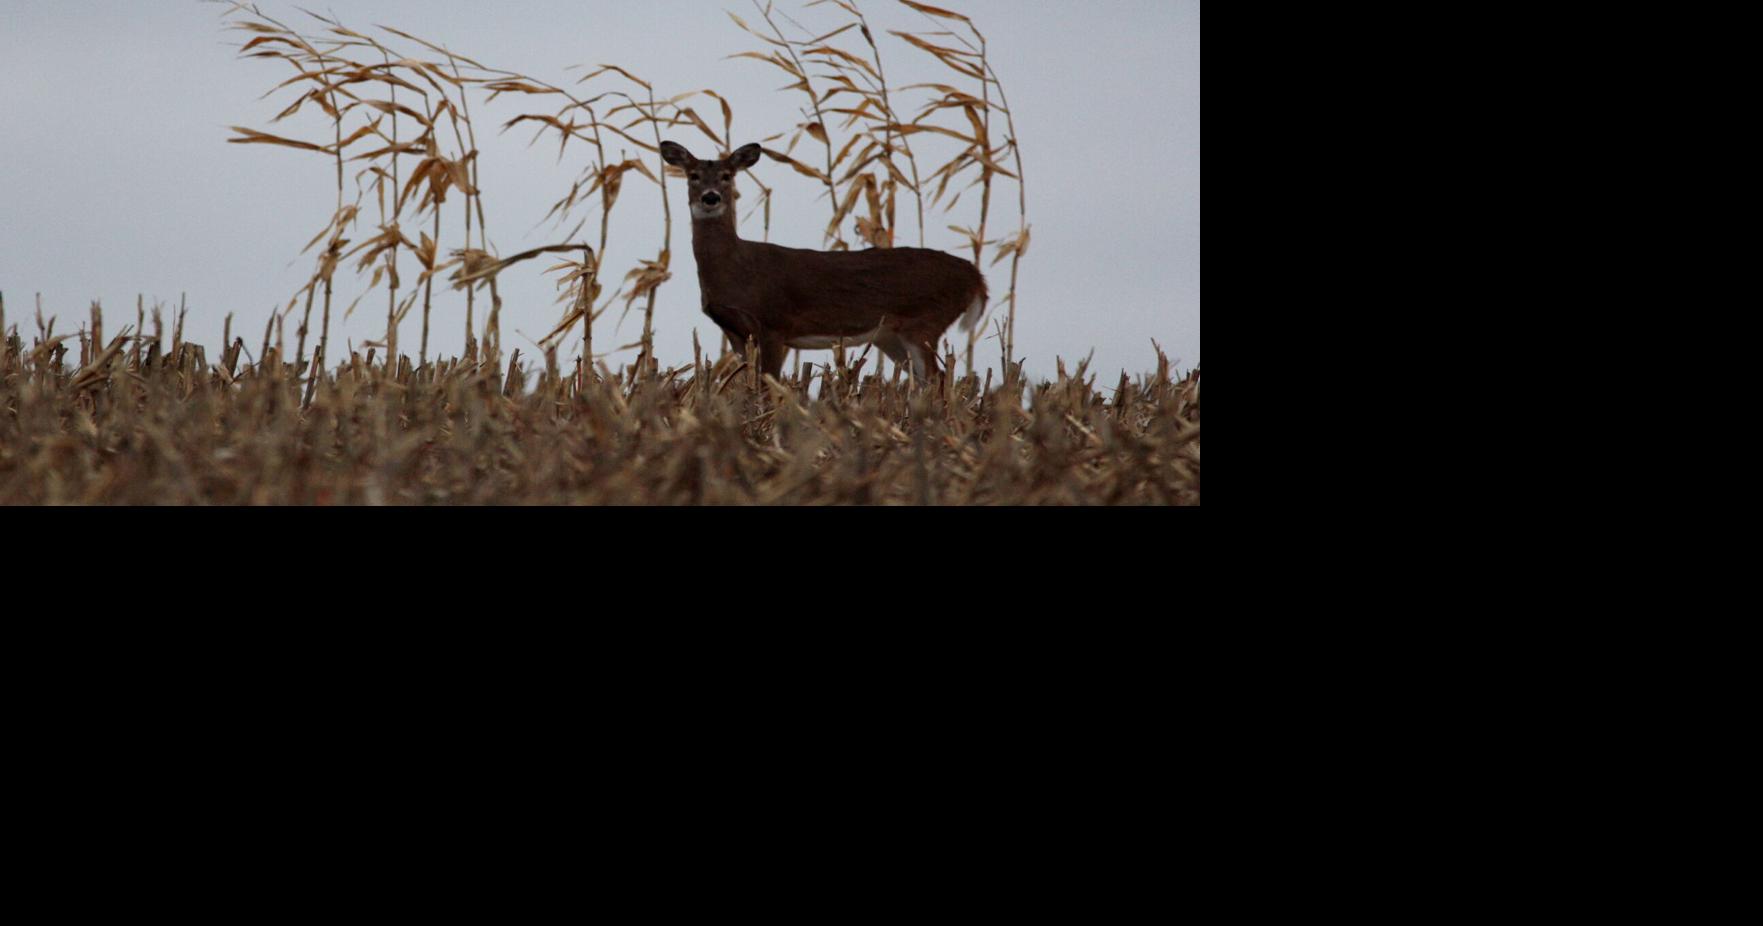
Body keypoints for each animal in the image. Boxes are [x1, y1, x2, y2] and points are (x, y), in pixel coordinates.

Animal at [660, 141, 988, 382]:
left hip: (926, 321)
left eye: (728, 175)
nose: (711, 197)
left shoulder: (774, 322)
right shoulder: (736, 332)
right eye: (693, 175)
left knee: (939, 380)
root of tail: (975, 276)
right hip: (891, 336)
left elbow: (768, 386)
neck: (738, 270)